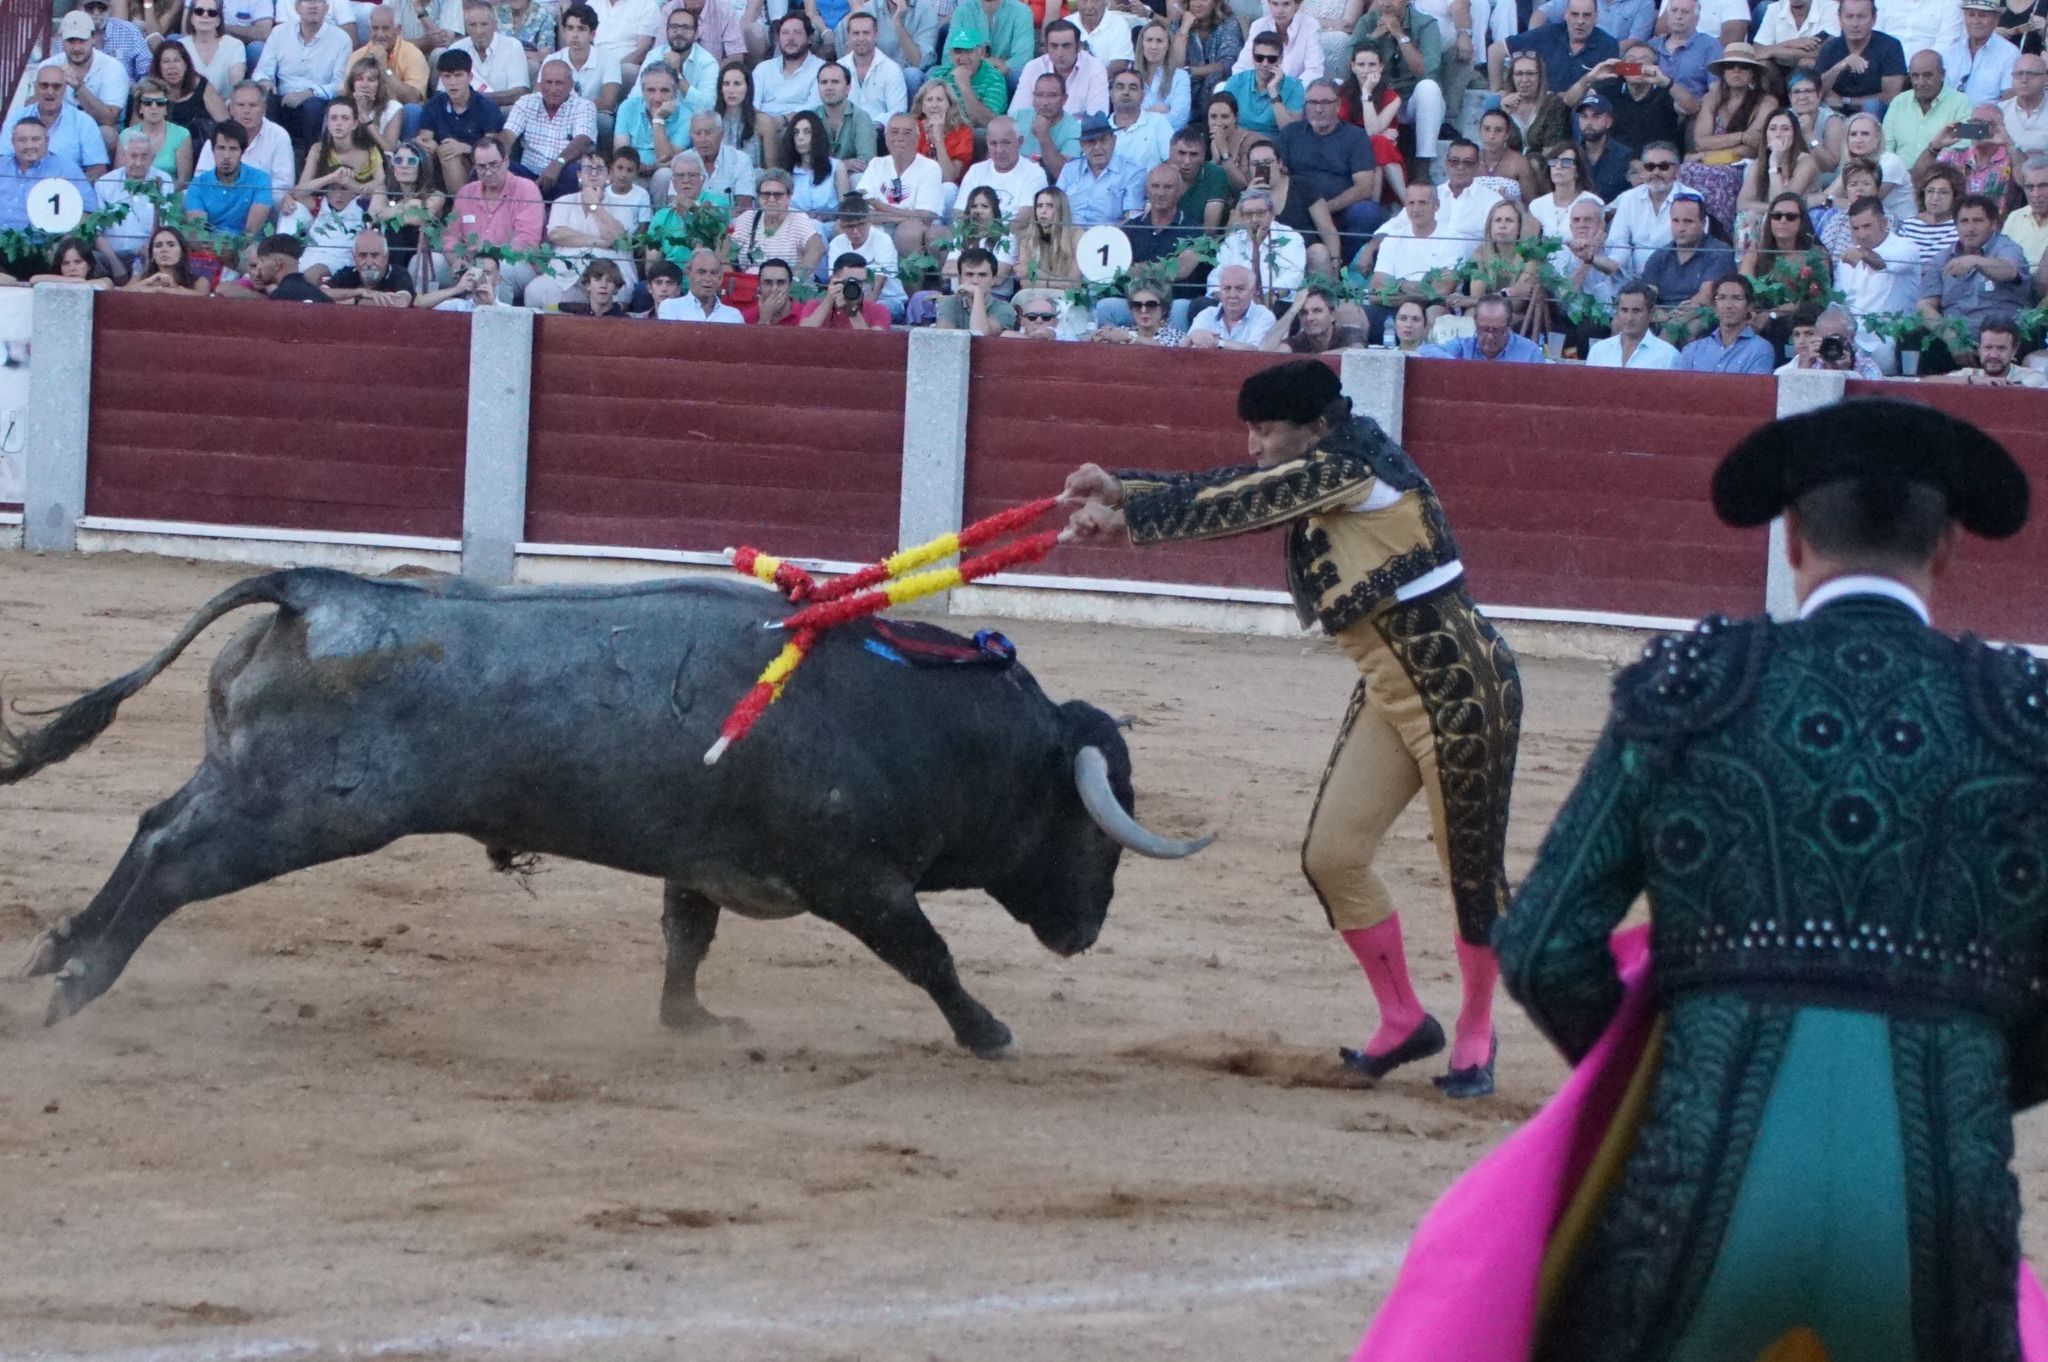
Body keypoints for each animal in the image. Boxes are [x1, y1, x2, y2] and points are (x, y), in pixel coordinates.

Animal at [4, 569, 1196, 1056]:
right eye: (1092, 822)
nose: (1086, 930)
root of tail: (315, 591)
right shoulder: (857, 880)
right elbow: (928, 955)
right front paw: (989, 1033)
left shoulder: (701, 859)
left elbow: (685, 938)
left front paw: (689, 1022)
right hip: (293, 813)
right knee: (174, 863)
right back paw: (79, 983)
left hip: (240, 778)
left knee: (152, 827)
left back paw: (59, 949)